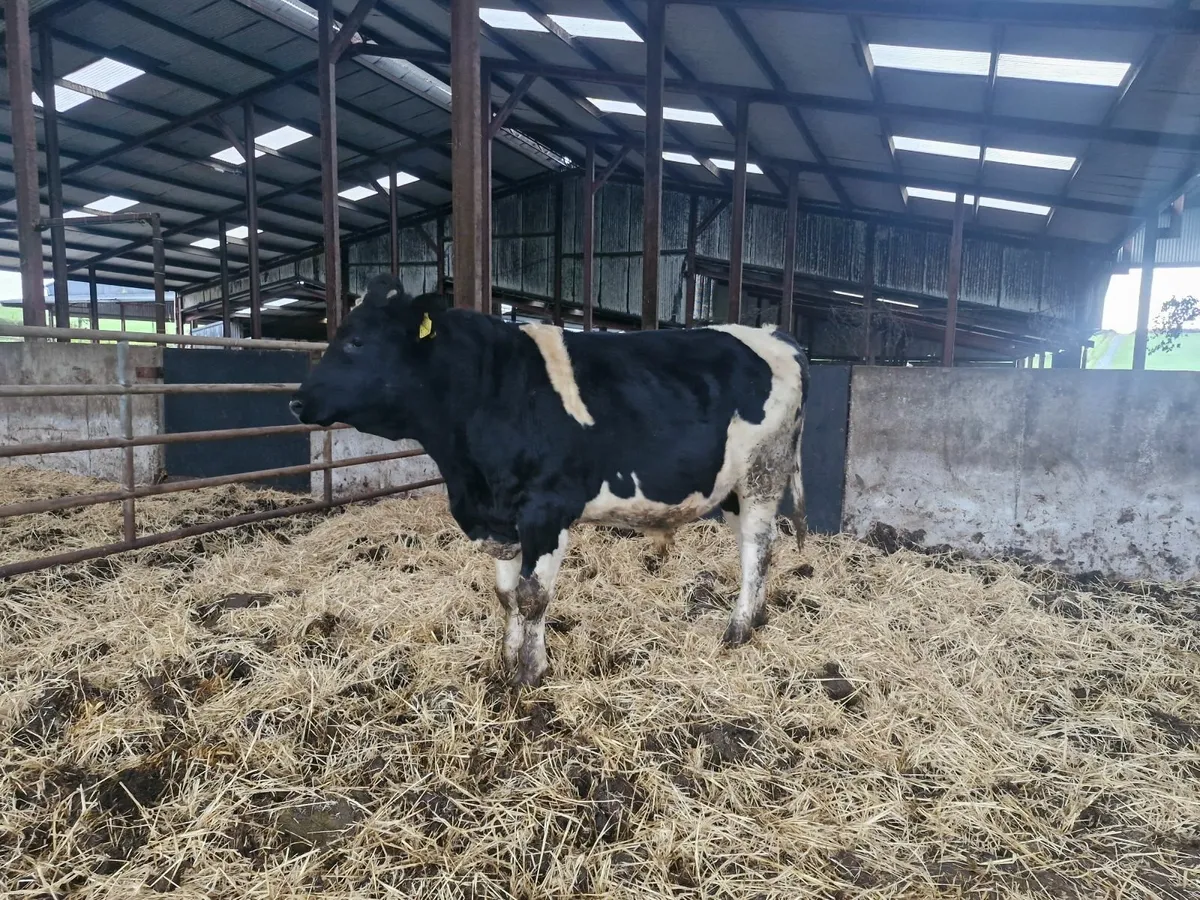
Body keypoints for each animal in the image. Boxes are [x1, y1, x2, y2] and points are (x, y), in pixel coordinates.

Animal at [290, 273, 810, 688]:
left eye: (357, 341)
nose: (296, 401)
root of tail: (777, 336)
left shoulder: (547, 509)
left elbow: (532, 595)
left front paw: (530, 672)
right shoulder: (497, 516)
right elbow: (505, 595)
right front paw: (503, 660)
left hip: (764, 472)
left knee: (757, 549)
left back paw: (738, 629)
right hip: (733, 488)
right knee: (758, 544)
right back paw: (758, 616)